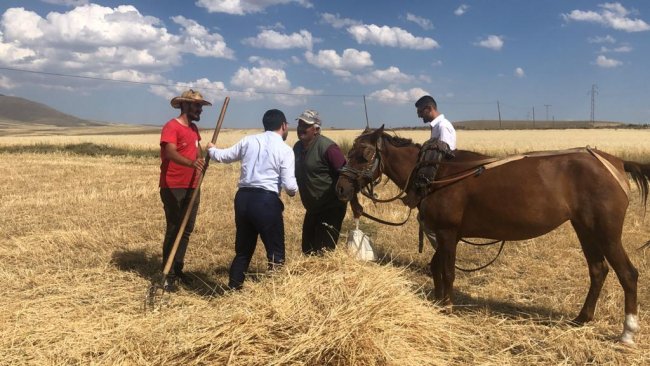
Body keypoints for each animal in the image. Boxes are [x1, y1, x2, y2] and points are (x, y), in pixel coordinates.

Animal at [334, 125, 648, 344]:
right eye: (349, 153)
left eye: (364, 155)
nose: (340, 188)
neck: (436, 173)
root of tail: (616, 162)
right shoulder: (445, 236)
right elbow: (436, 266)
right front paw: (438, 302)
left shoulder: (447, 234)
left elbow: (447, 271)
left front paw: (448, 306)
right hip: (585, 229)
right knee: (598, 270)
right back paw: (582, 318)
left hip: (606, 232)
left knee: (628, 274)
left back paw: (627, 332)